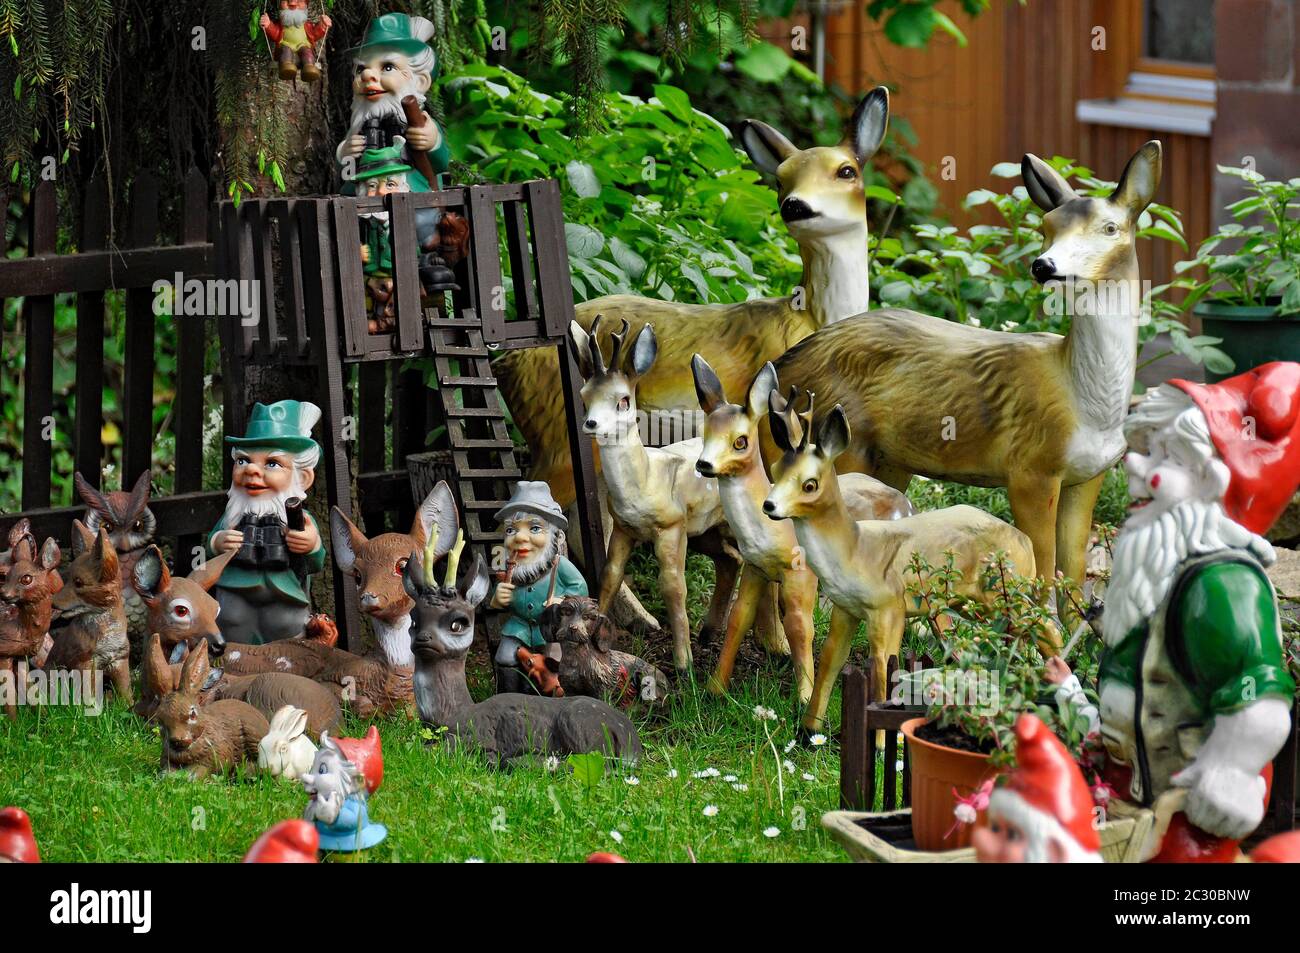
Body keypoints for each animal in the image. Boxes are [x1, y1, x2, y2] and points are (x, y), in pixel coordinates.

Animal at [566, 314, 733, 670]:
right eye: (584, 397)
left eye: (623, 400)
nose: (591, 424)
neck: (645, 481)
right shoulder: (623, 529)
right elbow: (610, 576)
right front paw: (594, 637)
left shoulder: (670, 527)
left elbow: (673, 586)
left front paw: (683, 664)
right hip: (706, 530)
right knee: (730, 560)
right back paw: (709, 634)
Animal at [696, 356, 909, 696]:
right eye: (705, 432)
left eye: (740, 441)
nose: (703, 464)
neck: (768, 532)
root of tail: (907, 502)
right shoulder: (755, 568)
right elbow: (739, 618)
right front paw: (715, 687)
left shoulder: (801, 572)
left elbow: (800, 626)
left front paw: (804, 695)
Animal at [759, 140, 1170, 603]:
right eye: (1047, 226)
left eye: (1110, 228)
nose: (1043, 265)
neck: (1084, 402)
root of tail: (778, 369)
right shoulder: (1030, 471)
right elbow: (1043, 572)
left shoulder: (1088, 477)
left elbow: (1073, 575)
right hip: (837, 453)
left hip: (889, 462)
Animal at [759, 392, 1034, 728]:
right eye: (774, 470)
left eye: (809, 484)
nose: (769, 505)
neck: (856, 549)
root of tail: (1025, 541)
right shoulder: (845, 609)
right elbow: (830, 660)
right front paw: (809, 730)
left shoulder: (890, 610)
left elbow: (881, 669)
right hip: (974, 605)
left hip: (1006, 597)